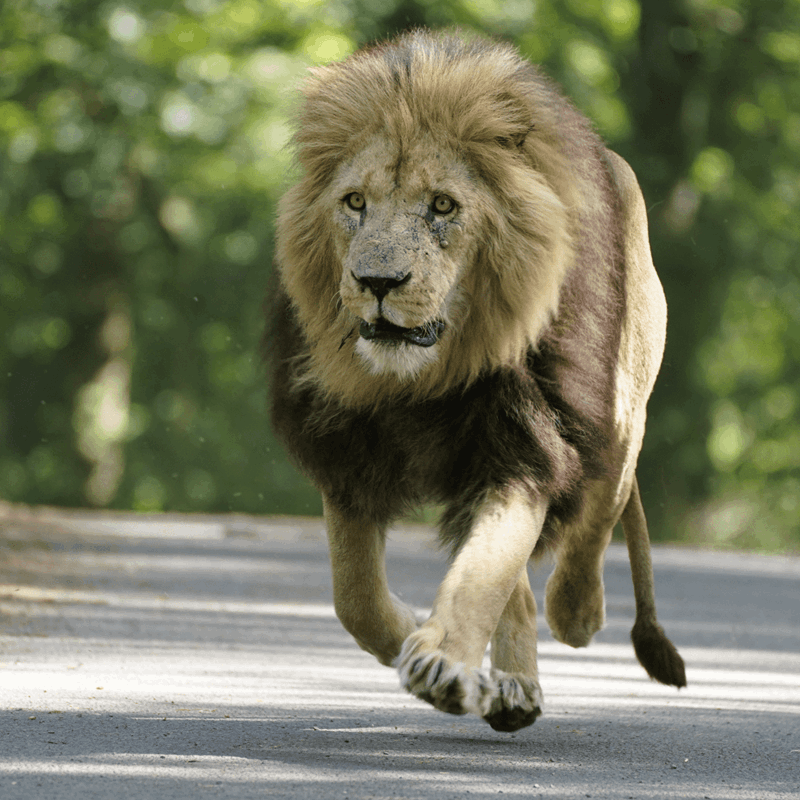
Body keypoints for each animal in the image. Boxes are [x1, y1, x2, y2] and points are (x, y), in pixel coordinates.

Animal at [267, 29, 686, 733]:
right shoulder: (348, 443)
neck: (423, 378)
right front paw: (412, 634)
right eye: (355, 202)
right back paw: (511, 688)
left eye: (442, 206)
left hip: (623, 405)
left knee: (603, 504)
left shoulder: (527, 439)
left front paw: (440, 661)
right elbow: (355, 594)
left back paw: (576, 613)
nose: (377, 283)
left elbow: (487, 565)